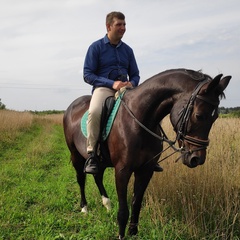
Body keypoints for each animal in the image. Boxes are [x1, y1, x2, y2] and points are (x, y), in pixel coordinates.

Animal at [63, 68, 231, 239]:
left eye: (215, 117)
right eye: (198, 115)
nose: (197, 158)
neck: (139, 121)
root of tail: (72, 106)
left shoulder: (146, 170)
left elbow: (136, 204)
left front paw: (133, 233)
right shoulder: (122, 171)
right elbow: (123, 211)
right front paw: (121, 235)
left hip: (101, 161)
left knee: (97, 176)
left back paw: (107, 205)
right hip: (76, 155)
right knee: (81, 179)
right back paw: (84, 208)